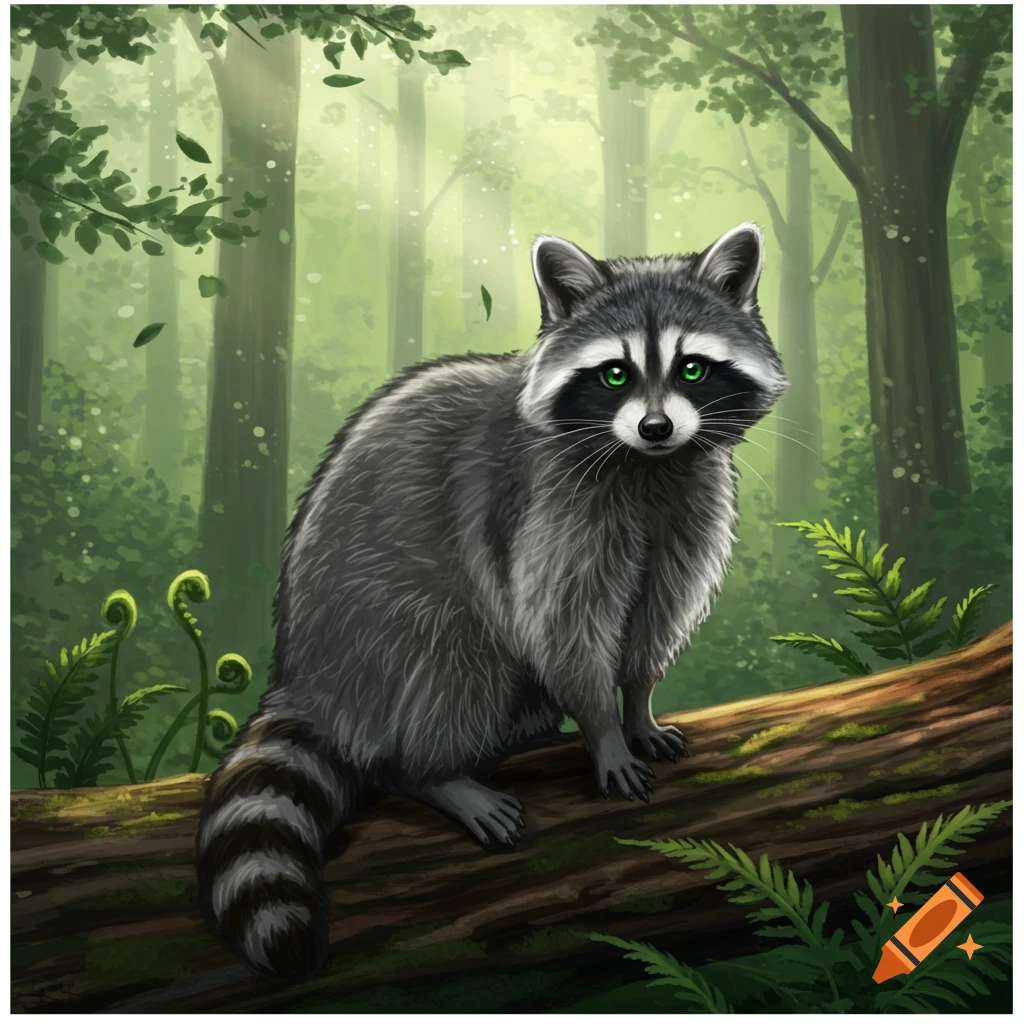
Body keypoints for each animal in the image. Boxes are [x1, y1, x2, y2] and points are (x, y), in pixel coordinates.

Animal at [195, 222, 787, 980]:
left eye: (692, 368)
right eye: (615, 373)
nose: (656, 427)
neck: (646, 465)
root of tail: (304, 674)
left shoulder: (688, 502)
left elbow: (657, 614)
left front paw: (638, 701)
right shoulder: (545, 508)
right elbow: (559, 623)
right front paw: (602, 724)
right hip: (382, 619)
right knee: (449, 659)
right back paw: (434, 772)